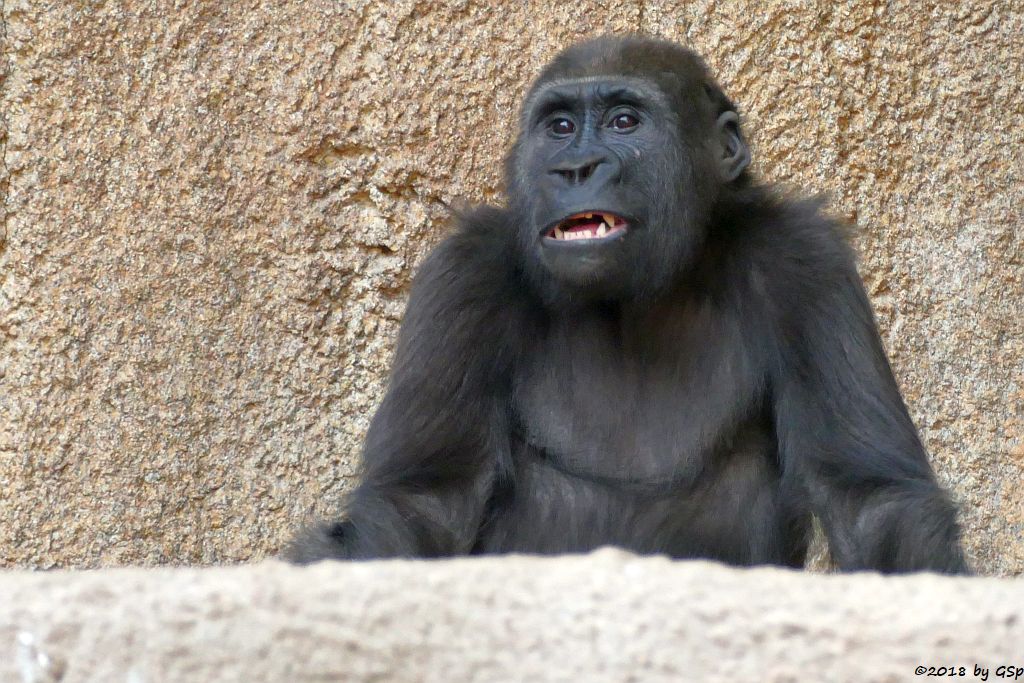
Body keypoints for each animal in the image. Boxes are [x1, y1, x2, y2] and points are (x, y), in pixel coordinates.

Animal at [286, 34, 966, 573]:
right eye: (560, 128)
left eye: (623, 122)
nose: (575, 168)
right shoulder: (464, 276)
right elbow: (421, 504)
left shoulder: (804, 261)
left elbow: (871, 503)